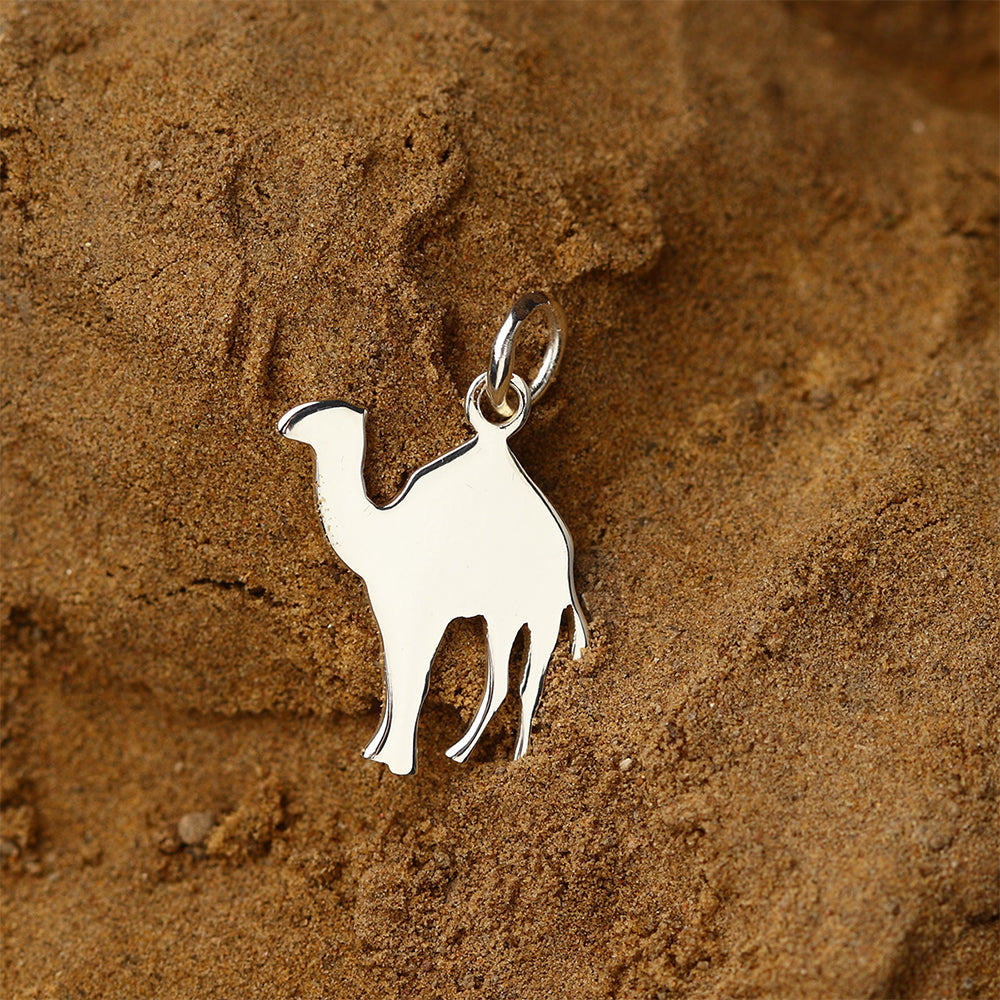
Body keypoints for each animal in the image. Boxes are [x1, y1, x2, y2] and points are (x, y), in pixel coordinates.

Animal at [279, 374, 588, 775]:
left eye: (323, 415)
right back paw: (473, 752)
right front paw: (377, 751)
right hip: (512, 613)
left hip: (534, 608)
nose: (285, 422)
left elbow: (414, 671)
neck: (380, 529)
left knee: (524, 683)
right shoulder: (390, 606)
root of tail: (565, 564)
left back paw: (498, 755)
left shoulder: (421, 605)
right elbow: (394, 671)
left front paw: (396, 761)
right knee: (509, 682)